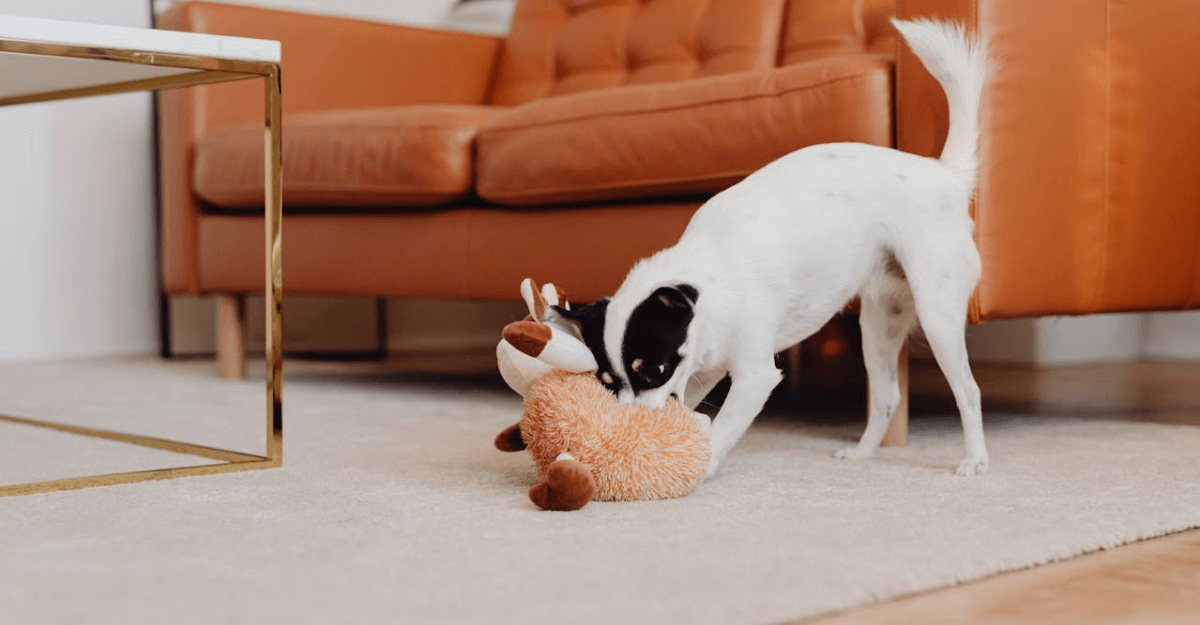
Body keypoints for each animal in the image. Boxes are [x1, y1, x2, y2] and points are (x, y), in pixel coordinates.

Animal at [552, 20, 993, 477]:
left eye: (654, 370)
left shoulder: (754, 377)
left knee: (968, 390)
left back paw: (975, 459)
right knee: (888, 395)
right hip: (880, 322)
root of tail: (944, 175)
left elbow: (720, 429)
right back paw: (863, 453)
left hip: (937, 313)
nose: (633, 423)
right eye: (608, 383)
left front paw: (696, 468)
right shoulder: (704, 371)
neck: (712, 282)